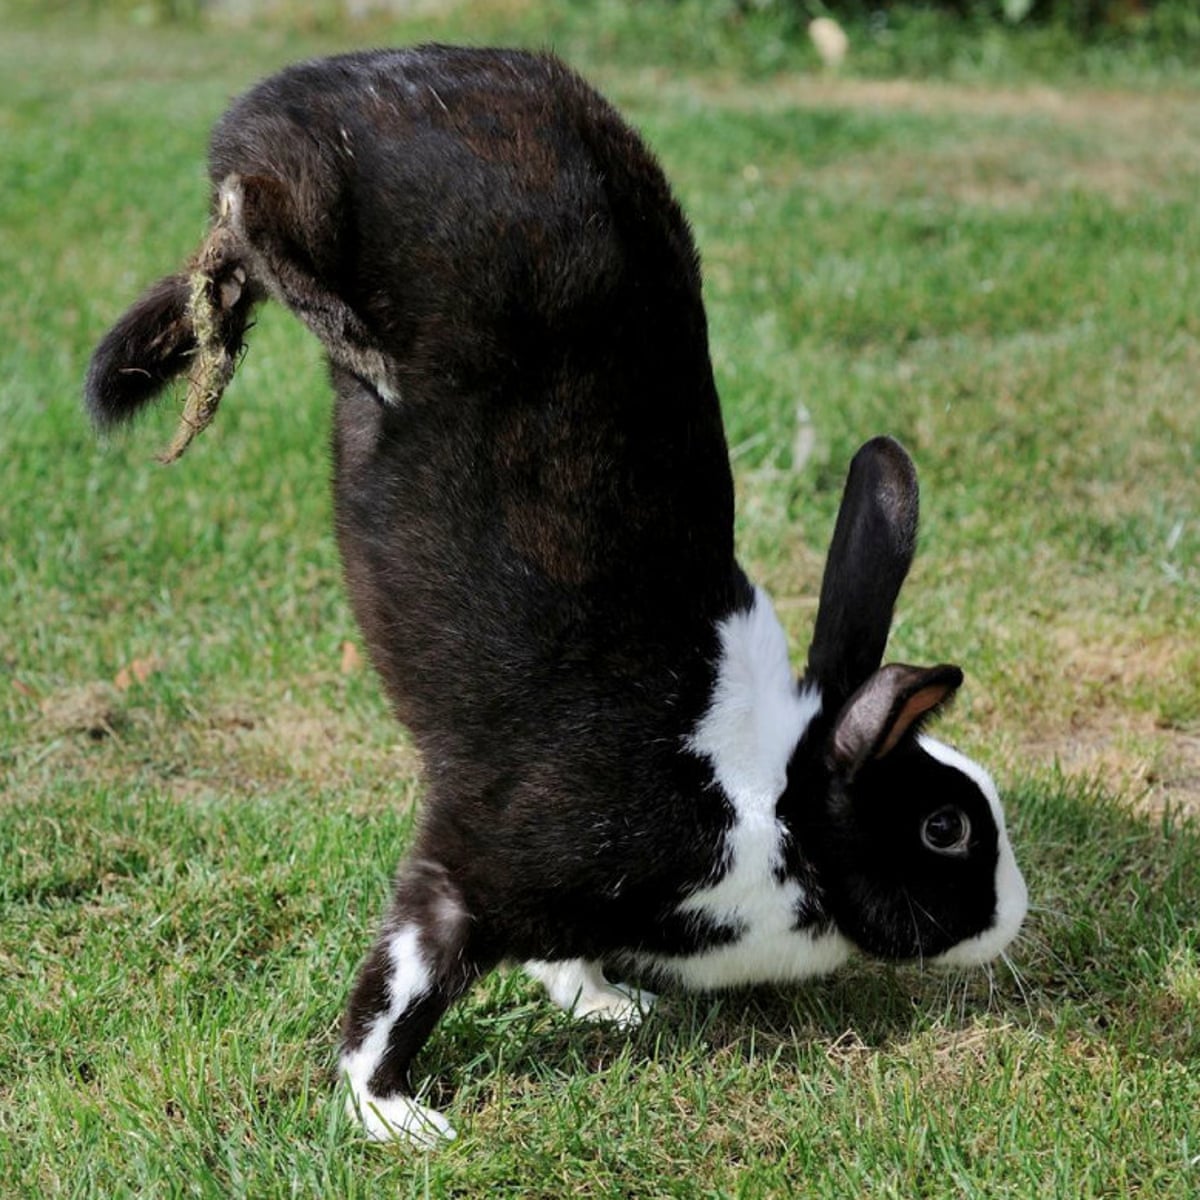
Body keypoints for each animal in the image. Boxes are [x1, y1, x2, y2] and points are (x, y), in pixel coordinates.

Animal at [85, 46, 1027, 1147]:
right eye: (943, 829)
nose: (1013, 916)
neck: (770, 798)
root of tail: (329, 78)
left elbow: (558, 957)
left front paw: (609, 1004)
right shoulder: (472, 874)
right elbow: (402, 987)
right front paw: (394, 1118)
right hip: (324, 194)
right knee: (256, 207)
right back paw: (334, 332)